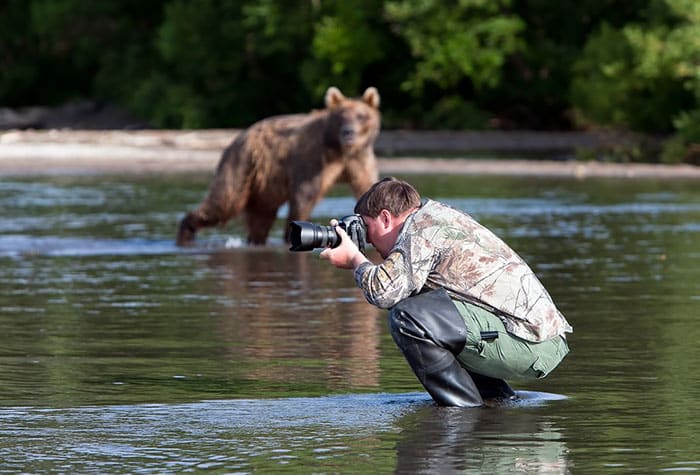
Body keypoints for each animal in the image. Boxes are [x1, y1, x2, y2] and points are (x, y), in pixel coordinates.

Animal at [178, 87, 380, 247]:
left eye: (361, 116)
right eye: (340, 116)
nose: (348, 133)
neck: (339, 149)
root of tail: (237, 138)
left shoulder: (360, 160)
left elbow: (366, 186)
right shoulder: (313, 159)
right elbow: (304, 195)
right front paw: (290, 234)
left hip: (264, 184)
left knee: (260, 217)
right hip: (241, 165)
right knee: (223, 203)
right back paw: (185, 233)